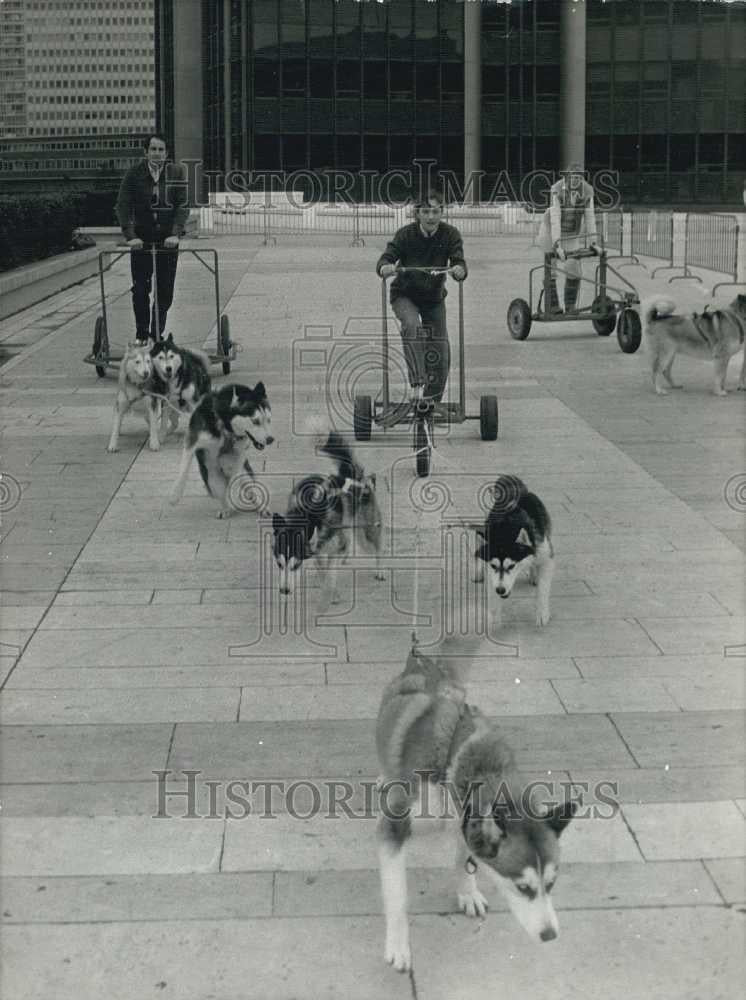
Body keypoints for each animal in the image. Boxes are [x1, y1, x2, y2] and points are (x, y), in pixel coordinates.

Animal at [270, 430, 384, 600]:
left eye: (296, 565)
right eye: (279, 564)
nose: (284, 591)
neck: (307, 512)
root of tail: (355, 479)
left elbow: (329, 570)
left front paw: (331, 592)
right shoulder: (316, 548)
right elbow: (321, 566)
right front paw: (324, 583)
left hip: (365, 531)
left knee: (375, 546)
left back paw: (380, 569)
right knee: (346, 541)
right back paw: (344, 555)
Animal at [378, 636, 576, 972]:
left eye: (551, 883)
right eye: (523, 887)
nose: (550, 935)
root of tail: (423, 664)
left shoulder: (465, 816)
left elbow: (465, 855)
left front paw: (467, 892)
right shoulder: (394, 827)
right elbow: (398, 896)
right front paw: (398, 946)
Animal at [474, 474, 548, 628]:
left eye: (512, 566)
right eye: (493, 565)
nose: (501, 590)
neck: (508, 529)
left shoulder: (546, 557)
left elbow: (543, 589)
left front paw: (542, 613)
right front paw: (494, 618)